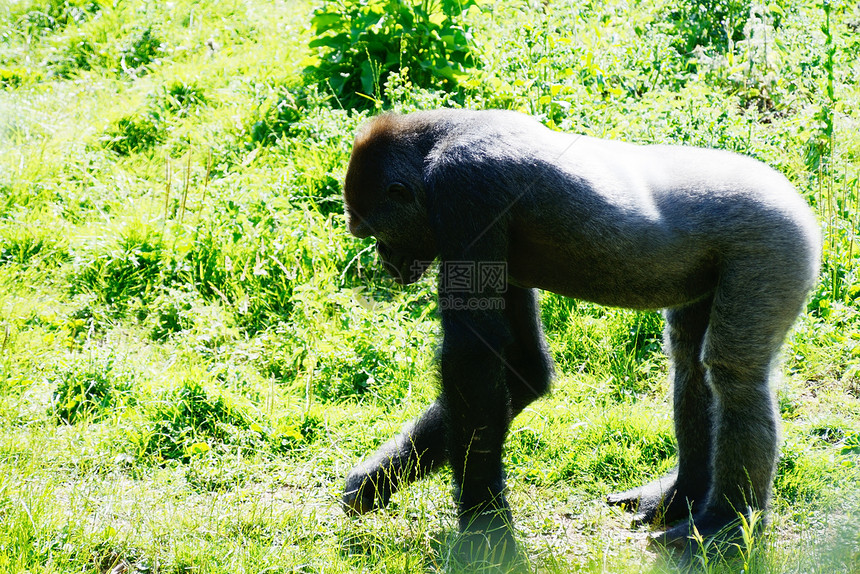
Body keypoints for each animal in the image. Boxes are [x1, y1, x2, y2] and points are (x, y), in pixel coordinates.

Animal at [336, 109, 820, 568]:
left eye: (375, 233)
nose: (384, 259)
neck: (437, 140)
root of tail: (795, 195)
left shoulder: (464, 188)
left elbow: (473, 359)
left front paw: (485, 531)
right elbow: (520, 368)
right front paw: (378, 480)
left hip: (775, 239)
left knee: (734, 374)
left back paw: (725, 524)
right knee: (689, 360)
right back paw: (682, 494)